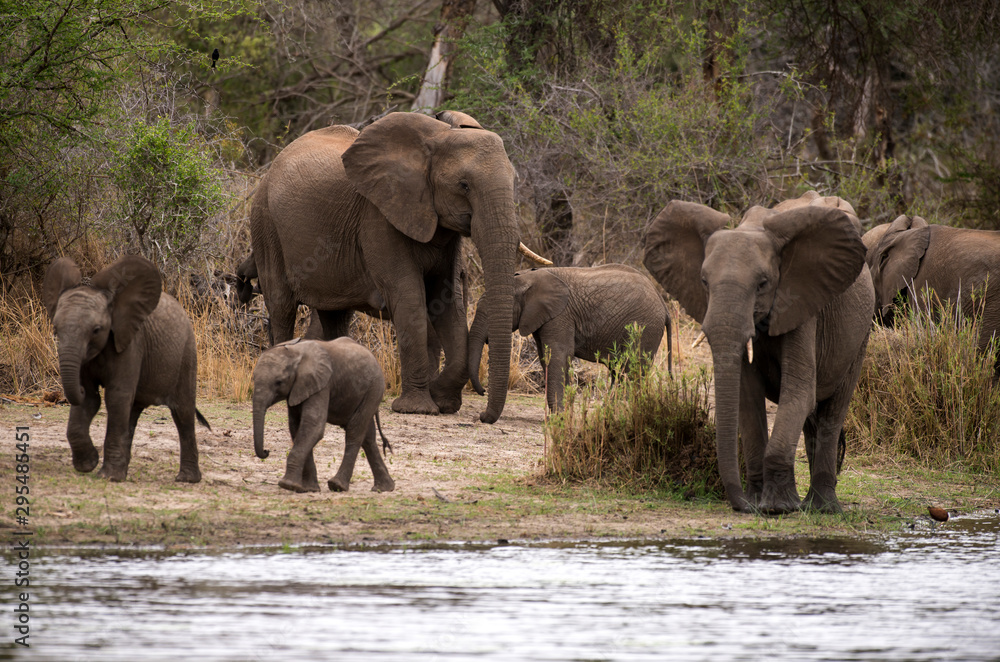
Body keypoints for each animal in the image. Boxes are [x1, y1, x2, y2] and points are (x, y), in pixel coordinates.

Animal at [42, 255, 205, 483]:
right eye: (55, 330)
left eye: (96, 330)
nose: (79, 388)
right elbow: (91, 400)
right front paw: (88, 464)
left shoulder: (131, 344)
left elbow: (116, 397)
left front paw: (106, 476)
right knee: (132, 412)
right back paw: (124, 472)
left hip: (187, 353)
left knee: (183, 412)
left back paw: (186, 479)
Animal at [247, 109, 543, 423]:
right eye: (463, 185)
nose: (484, 415)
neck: (437, 137)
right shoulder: (379, 216)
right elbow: (409, 296)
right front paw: (419, 408)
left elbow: (447, 300)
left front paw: (443, 402)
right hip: (265, 223)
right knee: (281, 305)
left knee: (335, 314)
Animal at [252, 337, 395, 493]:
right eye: (253, 379)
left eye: (279, 382)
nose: (266, 451)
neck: (296, 353)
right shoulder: (299, 388)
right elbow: (297, 427)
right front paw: (309, 488)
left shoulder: (322, 384)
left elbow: (313, 425)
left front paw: (287, 485)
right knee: (368, 437)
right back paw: (384, 488)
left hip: (374, 389)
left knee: (354, 432)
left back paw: (337, 485)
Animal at [467, 264, 671, 413]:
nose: (483, 391)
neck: (527, 278)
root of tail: (663, 304)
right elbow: (548, 358)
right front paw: (563, 412)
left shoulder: (560, 315)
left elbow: (558, 355)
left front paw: (560, 415)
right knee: (620, 370)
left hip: (644, 326)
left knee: (631, 368)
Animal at [643, 191, 874, 514]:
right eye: (703, 282)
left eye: (763, 284)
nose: (741, 504)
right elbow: (747, 395)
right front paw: (758, 502)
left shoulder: (801, 305)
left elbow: (799, 391)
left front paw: (778, 507)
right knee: (812, 421)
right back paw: (809, 505)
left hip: (860, 335)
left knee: (832, 412)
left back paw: (822, 508)